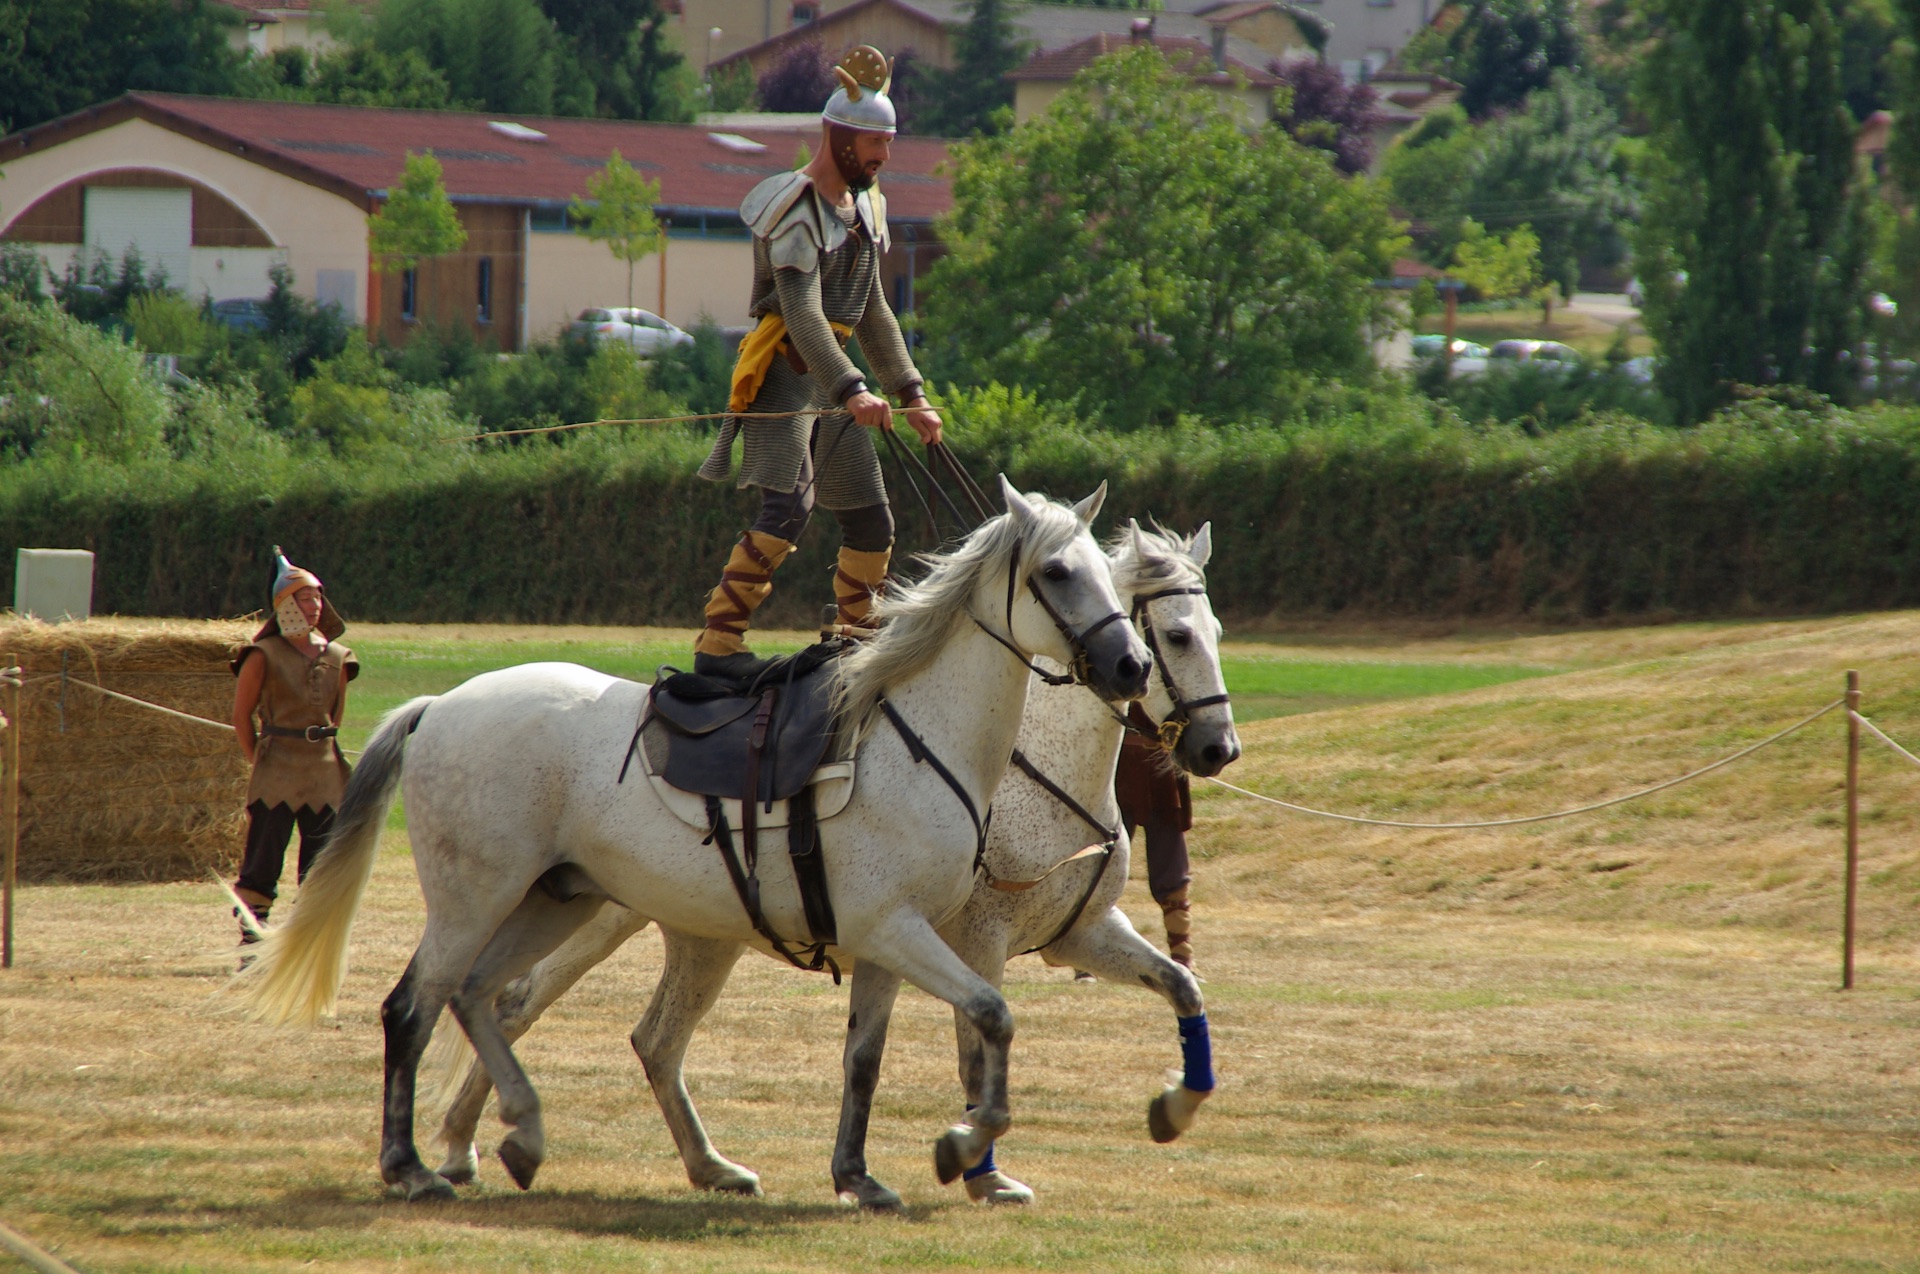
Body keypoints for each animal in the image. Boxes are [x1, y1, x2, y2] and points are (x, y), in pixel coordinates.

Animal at [233, 480, 1152, 1203]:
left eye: (1106, 571)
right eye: (1058, 572)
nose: (1133, 666)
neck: (917, 738)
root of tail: (440, 706)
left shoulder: (888, 945)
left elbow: (864, 1059)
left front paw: (859, 1176)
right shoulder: (899, 931)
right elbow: (994, 1015)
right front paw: (962, 1144)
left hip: (558, 903)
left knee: (487, 998)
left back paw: (551, 1138)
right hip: (474, 901)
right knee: (416, 1006)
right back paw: (413, 1165)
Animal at [422, 520, 1240, 1207]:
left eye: (1215, 632)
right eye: (1176, 635)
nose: (1217, 748)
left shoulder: (1079, 934)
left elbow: (1182, 987)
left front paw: (1175, 1104)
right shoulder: (972, 939)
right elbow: (978, 1049)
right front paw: (979, 1167)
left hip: (695, 934)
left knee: (648, 1039)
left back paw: (688, 1165)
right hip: (590, 914)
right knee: (511, 1001)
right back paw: (469, 1146)